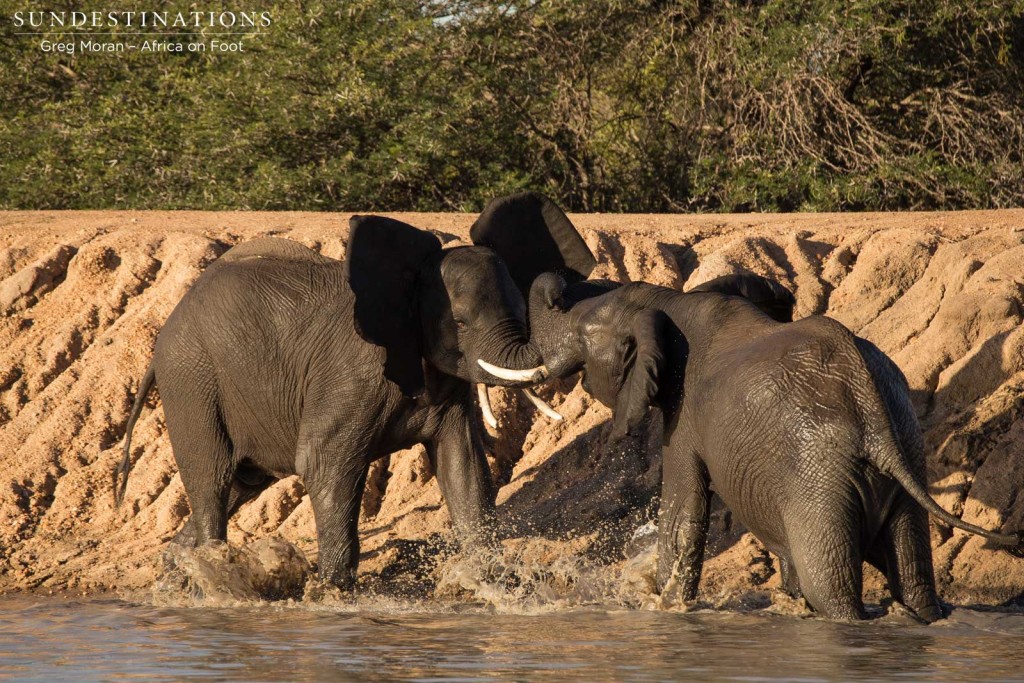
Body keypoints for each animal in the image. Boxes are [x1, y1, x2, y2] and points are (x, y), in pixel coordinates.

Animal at [115, 216, 581, 589]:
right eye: (461, 322)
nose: (560, 289)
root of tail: (164, 332)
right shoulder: (352, 374)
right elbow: (324, 464)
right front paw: (333, 593)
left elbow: (463, 466)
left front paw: (491, 581)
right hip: (191, 380)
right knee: (212, 481)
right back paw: (212, 577)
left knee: (241, 485)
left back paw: (180, 574)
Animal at [475, 193, 1019, 626]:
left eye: (582, 335)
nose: (557, 286)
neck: (669, 302)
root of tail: (874, 420)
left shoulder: (685, 415)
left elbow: (683, 515)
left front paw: (662, 608)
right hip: (902, 453)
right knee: (913, 577)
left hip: (818, 476)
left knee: (831, 587)